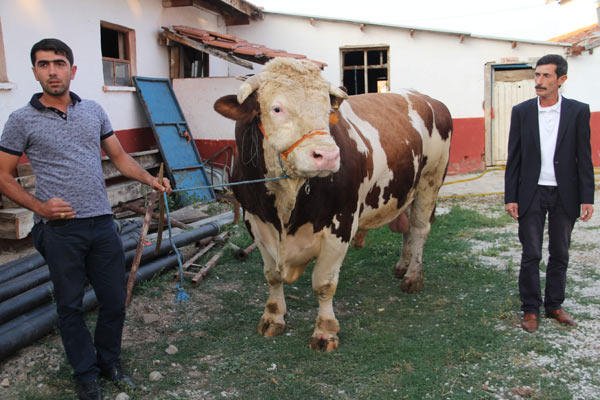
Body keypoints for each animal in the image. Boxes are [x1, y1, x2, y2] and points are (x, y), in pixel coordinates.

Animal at [213, 57, 452, 352]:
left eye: (327, 111)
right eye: (276, 108)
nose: (327, 155)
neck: (286, 203)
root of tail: (425, 98)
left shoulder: (341, 225)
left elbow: (324, 284)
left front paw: (325, 331)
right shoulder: (256, 223)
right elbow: (272, 275)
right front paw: (273, 318)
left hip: (431, 180)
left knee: (419, 229)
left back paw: (413, 277)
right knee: (407, 230)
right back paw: (402, 266)